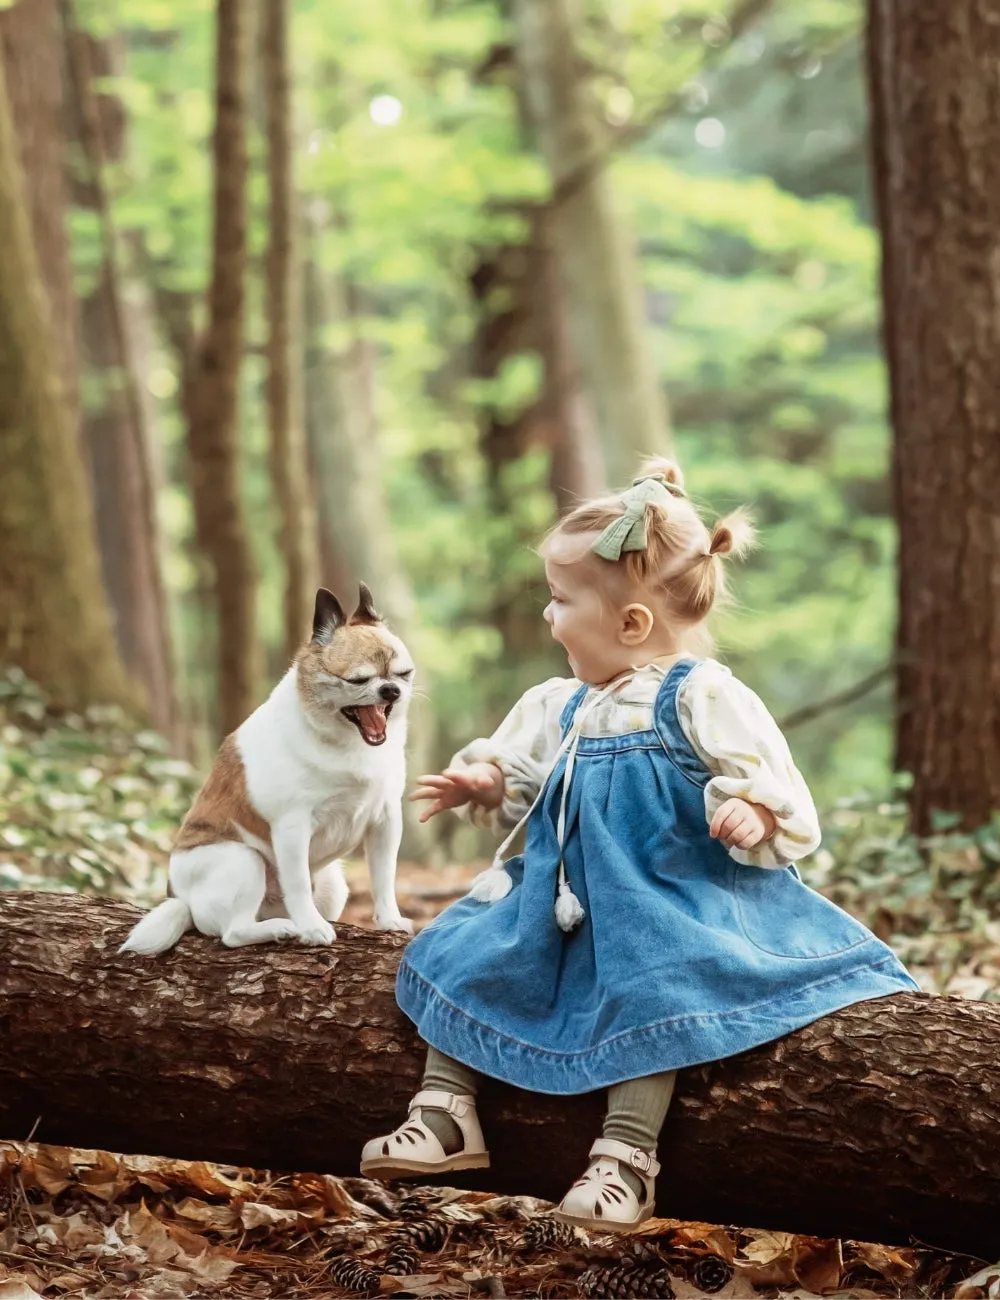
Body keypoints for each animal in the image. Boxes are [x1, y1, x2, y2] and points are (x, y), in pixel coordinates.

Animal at [120, 585, 413, 951]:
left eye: (404, 674)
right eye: (358, 680)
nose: (391, 690)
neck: (347, 743)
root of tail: (181, 899)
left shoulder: (385, 821)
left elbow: (385, 876)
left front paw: (389, 921)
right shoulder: (292, 828)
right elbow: (298, 883)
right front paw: (311, 929)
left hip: (333, 884)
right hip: (244, 861)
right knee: (232, 933)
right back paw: (282, 928)